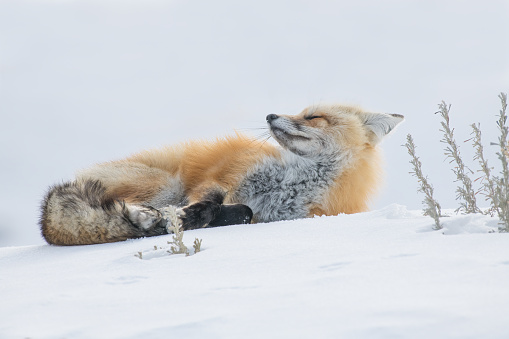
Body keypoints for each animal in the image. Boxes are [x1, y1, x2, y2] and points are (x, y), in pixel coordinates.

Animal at [39, 105, 402, 246]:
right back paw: (148, 218)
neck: (292, 181)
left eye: (313, 117)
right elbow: (212, 200)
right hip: (165, 184)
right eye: (302, 112)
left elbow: (244, 212)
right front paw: (187, 217)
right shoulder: (223, 176)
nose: (270, 115)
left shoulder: (274, 215)